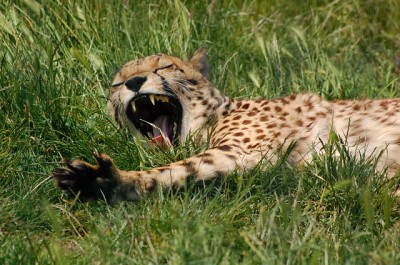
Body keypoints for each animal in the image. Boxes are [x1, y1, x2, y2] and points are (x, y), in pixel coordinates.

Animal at [52, 48, 400, 201]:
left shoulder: (245, 152)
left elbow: (169, 170)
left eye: (165, 66)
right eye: (117, 83)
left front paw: (106, 179)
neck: (216, 116)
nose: (134, 83)